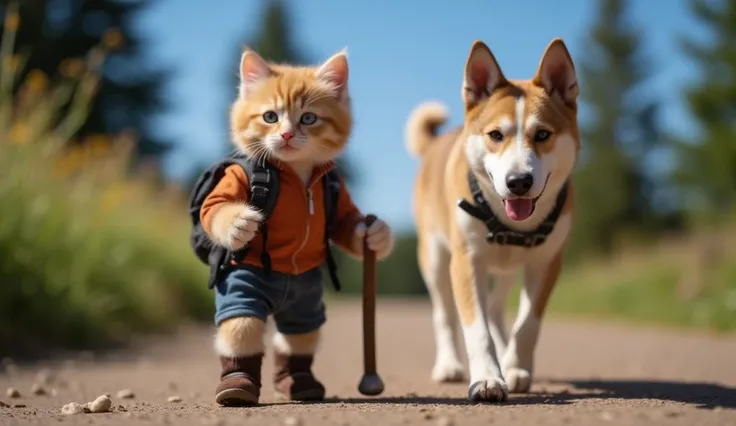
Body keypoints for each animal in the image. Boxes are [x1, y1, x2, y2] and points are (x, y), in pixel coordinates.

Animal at [406, 38, 576, 402]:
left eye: (542, 134)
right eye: (496, 135)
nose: (518, 181)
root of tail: (435, 142)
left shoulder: (547, 262)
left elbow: (527, 324)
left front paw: (514, 367)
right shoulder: (466, 262)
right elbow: (476, 328)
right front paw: (486, 378)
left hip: (506, 270)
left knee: (497, 310)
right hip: (435, 260)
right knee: (444, 315)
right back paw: (449, 365)